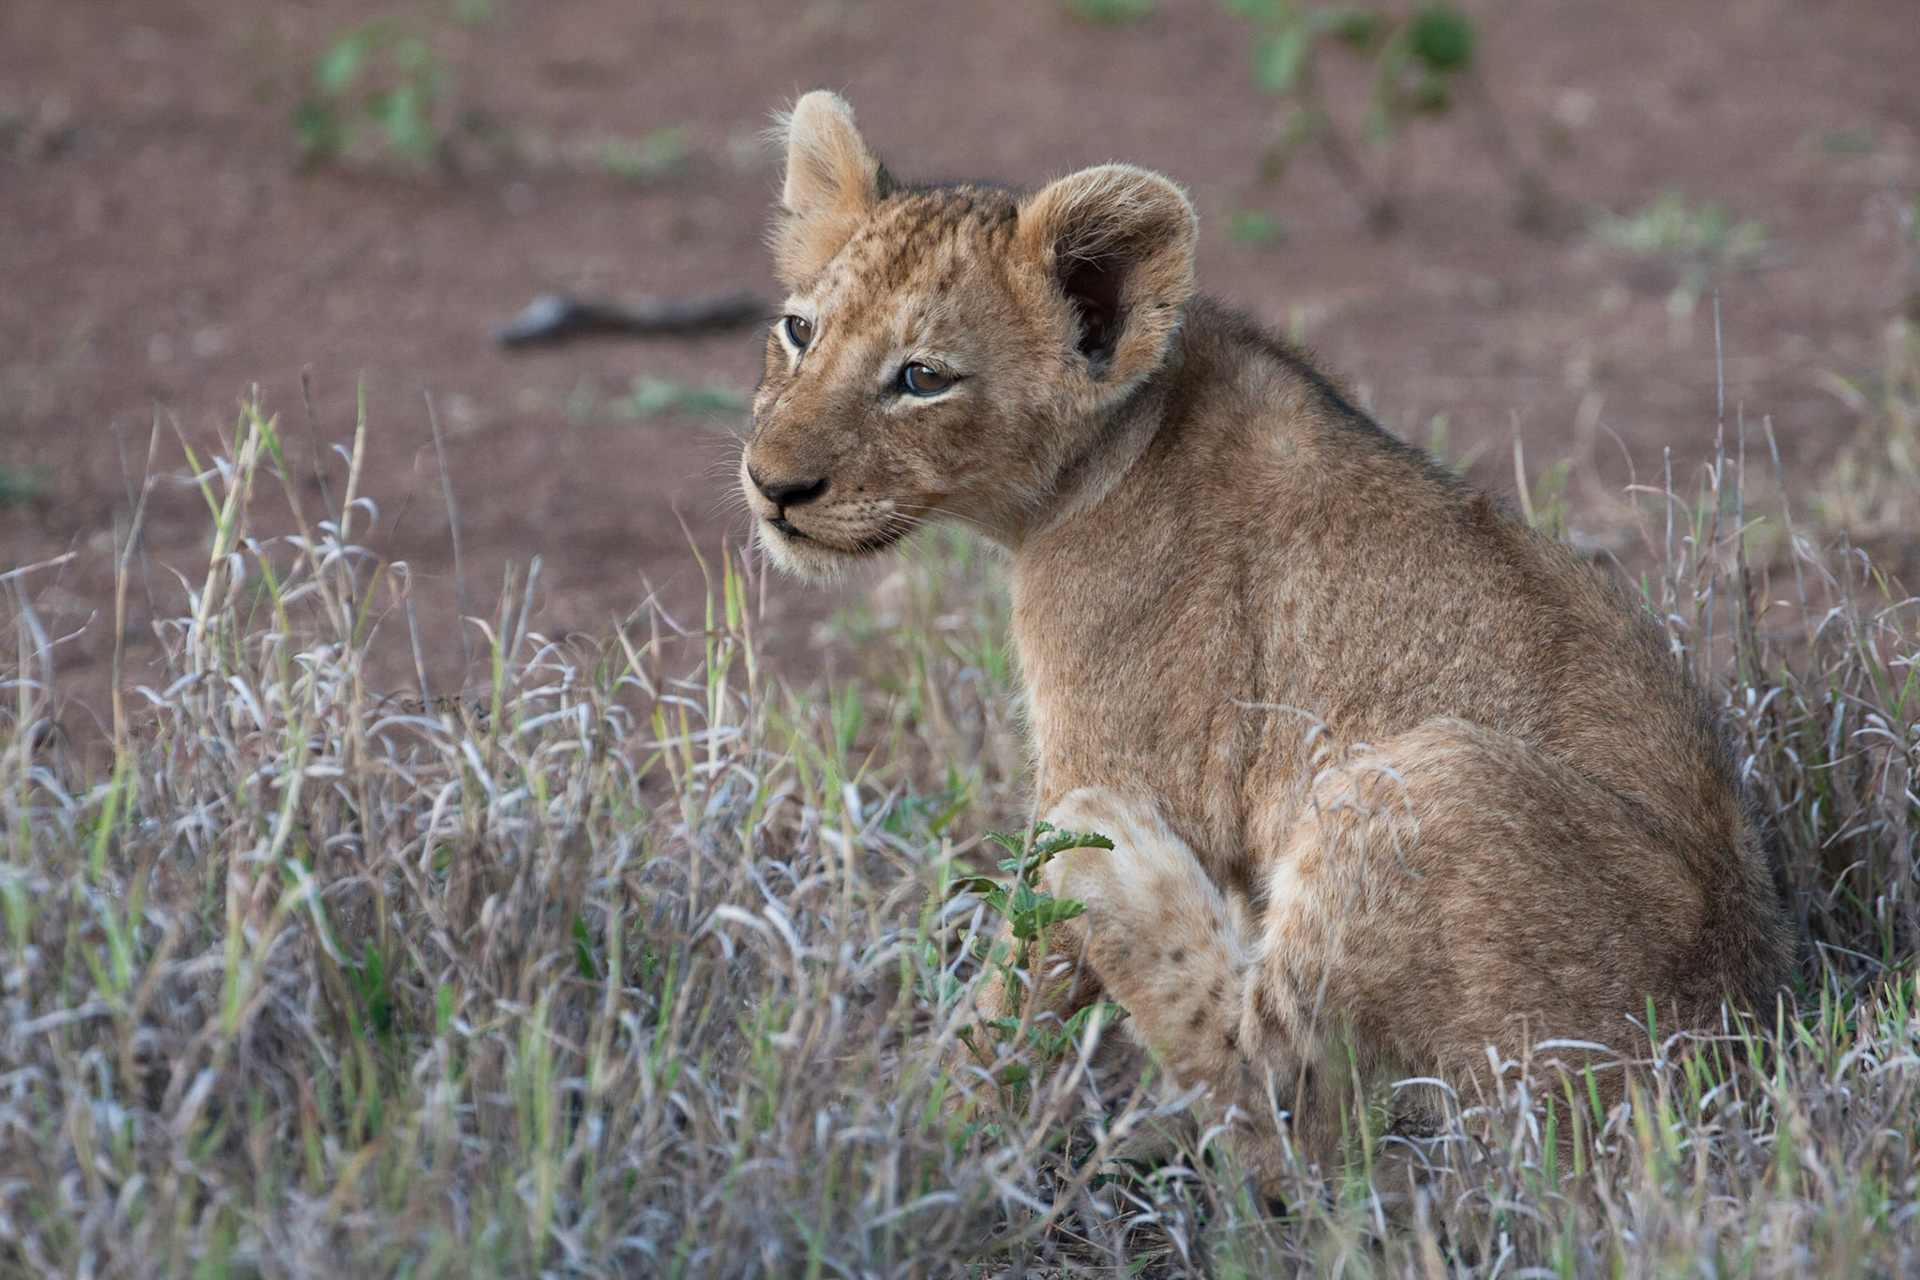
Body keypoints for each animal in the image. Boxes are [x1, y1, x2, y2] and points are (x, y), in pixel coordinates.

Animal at [738, 90, 1793, 1175]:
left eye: (922, 378)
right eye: (798, 331)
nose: (770, 485)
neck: (1102, 454)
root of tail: (1725, 1068)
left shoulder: (1125, 757)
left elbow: (1016, 989)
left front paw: (907, 1135)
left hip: (1431, 780)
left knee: (1301, 1113)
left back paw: (1122, 871)